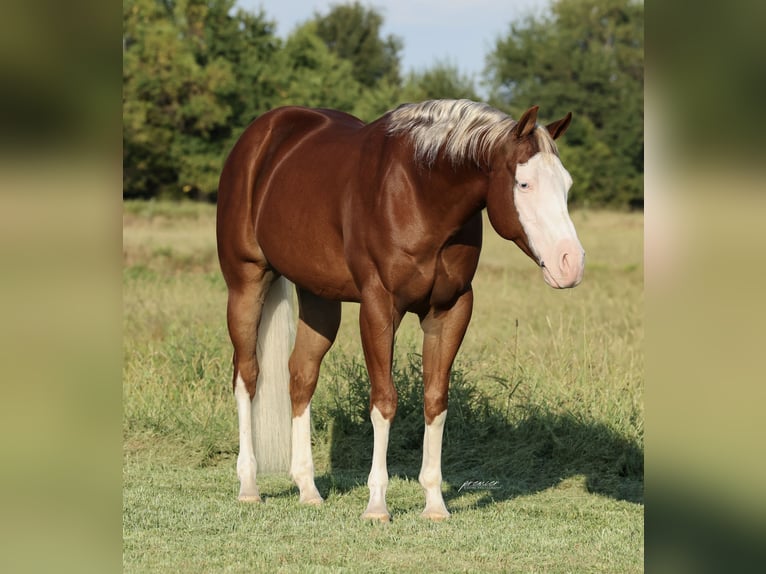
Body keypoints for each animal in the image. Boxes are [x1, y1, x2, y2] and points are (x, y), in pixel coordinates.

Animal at [216, 99, 584, 521]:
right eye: (524, 183)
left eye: (566, 185)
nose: (571, 264)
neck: (421, 193)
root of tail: (262, 134)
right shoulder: (379, 306)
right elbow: (384, 401)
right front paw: (377, 505)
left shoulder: (451, 309)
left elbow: (435, 400)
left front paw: (435, 504)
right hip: (246, 284)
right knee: (247, 376)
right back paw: (249, 486)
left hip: (318, 297)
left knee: (301, 376)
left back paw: (308, 489)